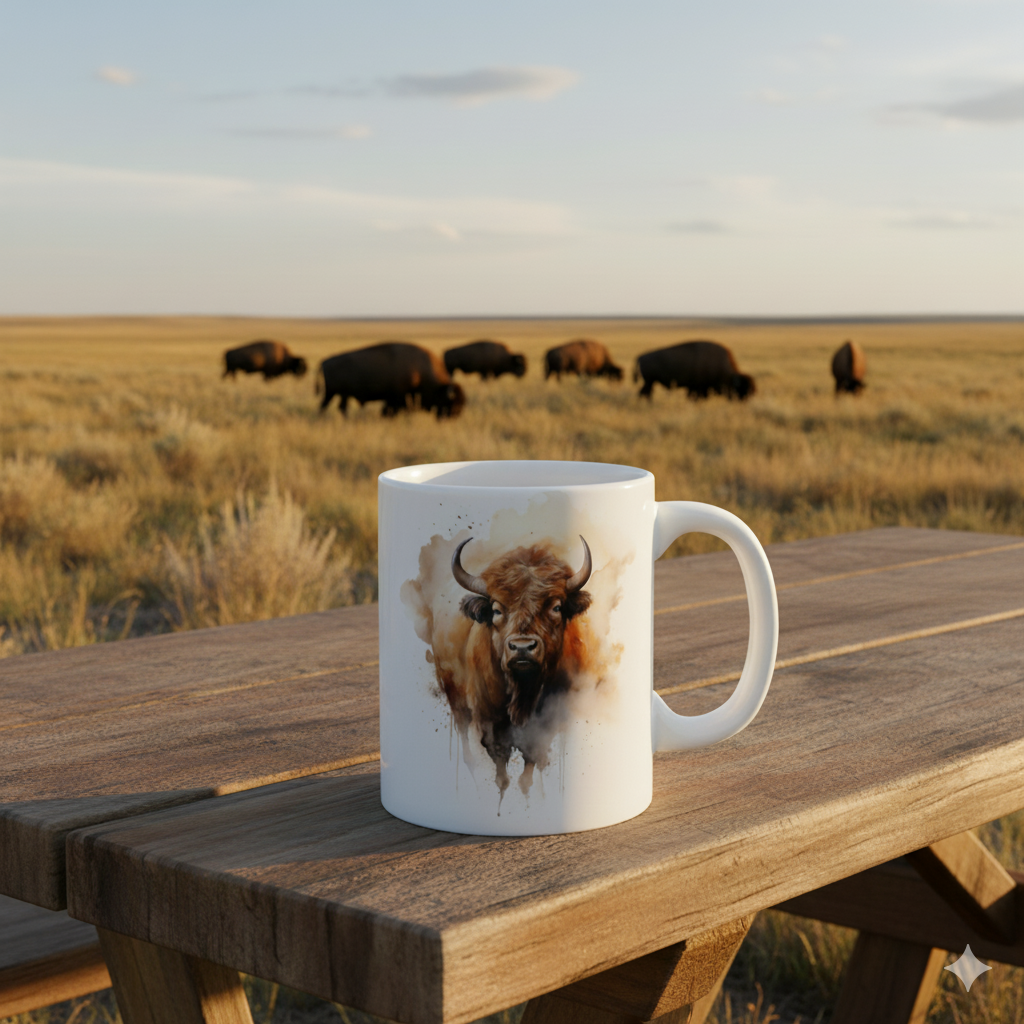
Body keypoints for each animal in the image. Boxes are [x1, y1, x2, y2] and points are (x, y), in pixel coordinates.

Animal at [317, 342, 465, 419]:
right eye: (451, 402)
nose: (453, 416)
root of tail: (324, 361)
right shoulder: (398, 396)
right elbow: (394, 409)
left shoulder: (395, 397)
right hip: (333, 393)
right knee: (327, 405)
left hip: (340, 394)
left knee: (338, 406)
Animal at [448, 536, 593, 790]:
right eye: (496, 610)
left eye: (556, 607)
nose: (523, 648)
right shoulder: (489, 723)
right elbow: (500, 768)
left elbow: (531, 764)